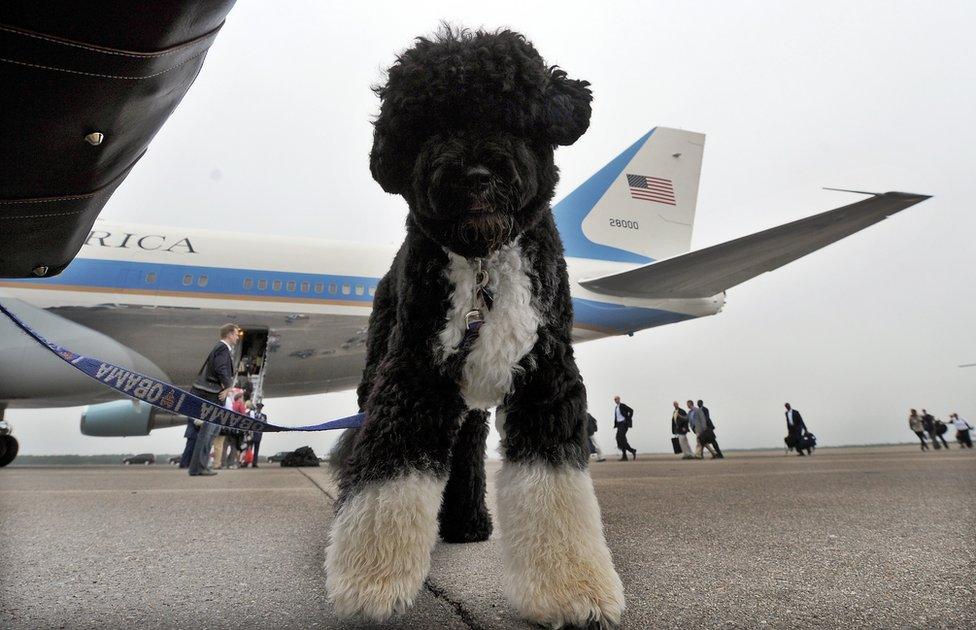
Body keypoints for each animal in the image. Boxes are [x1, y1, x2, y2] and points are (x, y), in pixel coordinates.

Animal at [324, 27, 620, 628]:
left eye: (511, 116)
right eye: (430, 126)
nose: (476, 175)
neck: (483, 259)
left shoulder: (546, 376)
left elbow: (555, 483)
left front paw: (574, 591)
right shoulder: (414, 373)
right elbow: (390, 469)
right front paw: (371, 580)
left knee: (465, 447)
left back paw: (465, 524)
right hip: (380, 371)